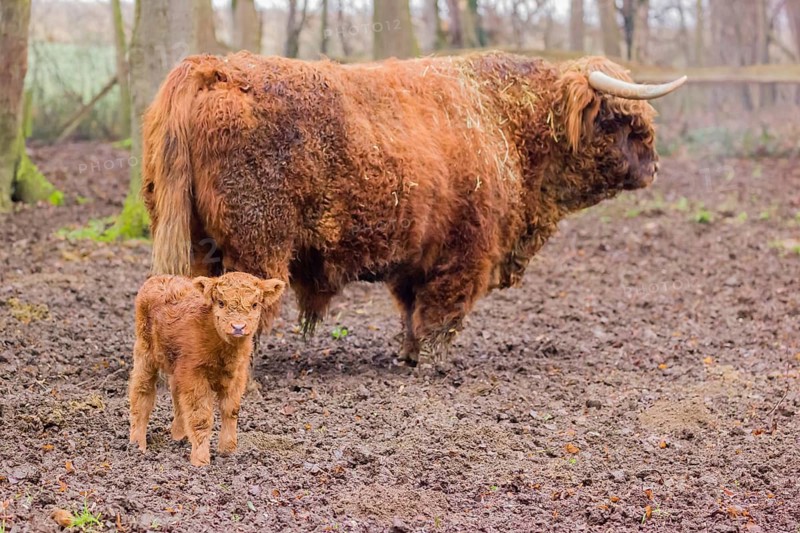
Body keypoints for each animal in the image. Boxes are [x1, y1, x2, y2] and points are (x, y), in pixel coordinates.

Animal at [142, 51, 686, 368]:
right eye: (623, 122)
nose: (655, 167)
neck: (507, 124)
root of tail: (212, 68)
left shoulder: (415, 259)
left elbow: (410, 312)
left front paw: (408, 355)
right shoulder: (466, 255)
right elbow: (442, 314)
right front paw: (433, 362)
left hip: (197, 243)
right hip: (258, 248)